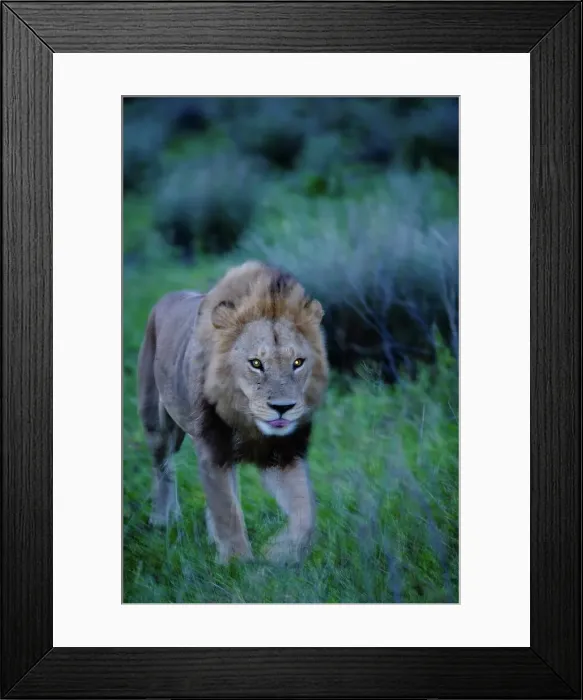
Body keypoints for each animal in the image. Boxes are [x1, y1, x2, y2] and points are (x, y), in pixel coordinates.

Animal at [137, 260, 329, 564]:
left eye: (298, 362)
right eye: (256, 363)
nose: (283, 408)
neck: (246, 420)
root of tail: (168, 297)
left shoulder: (285, 454)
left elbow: (305, 514)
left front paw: (280, 553)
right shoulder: (213, 451)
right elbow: (227, 512)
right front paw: (238, 565)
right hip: (156, 424)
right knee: (163, 467)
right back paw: (162, 519)